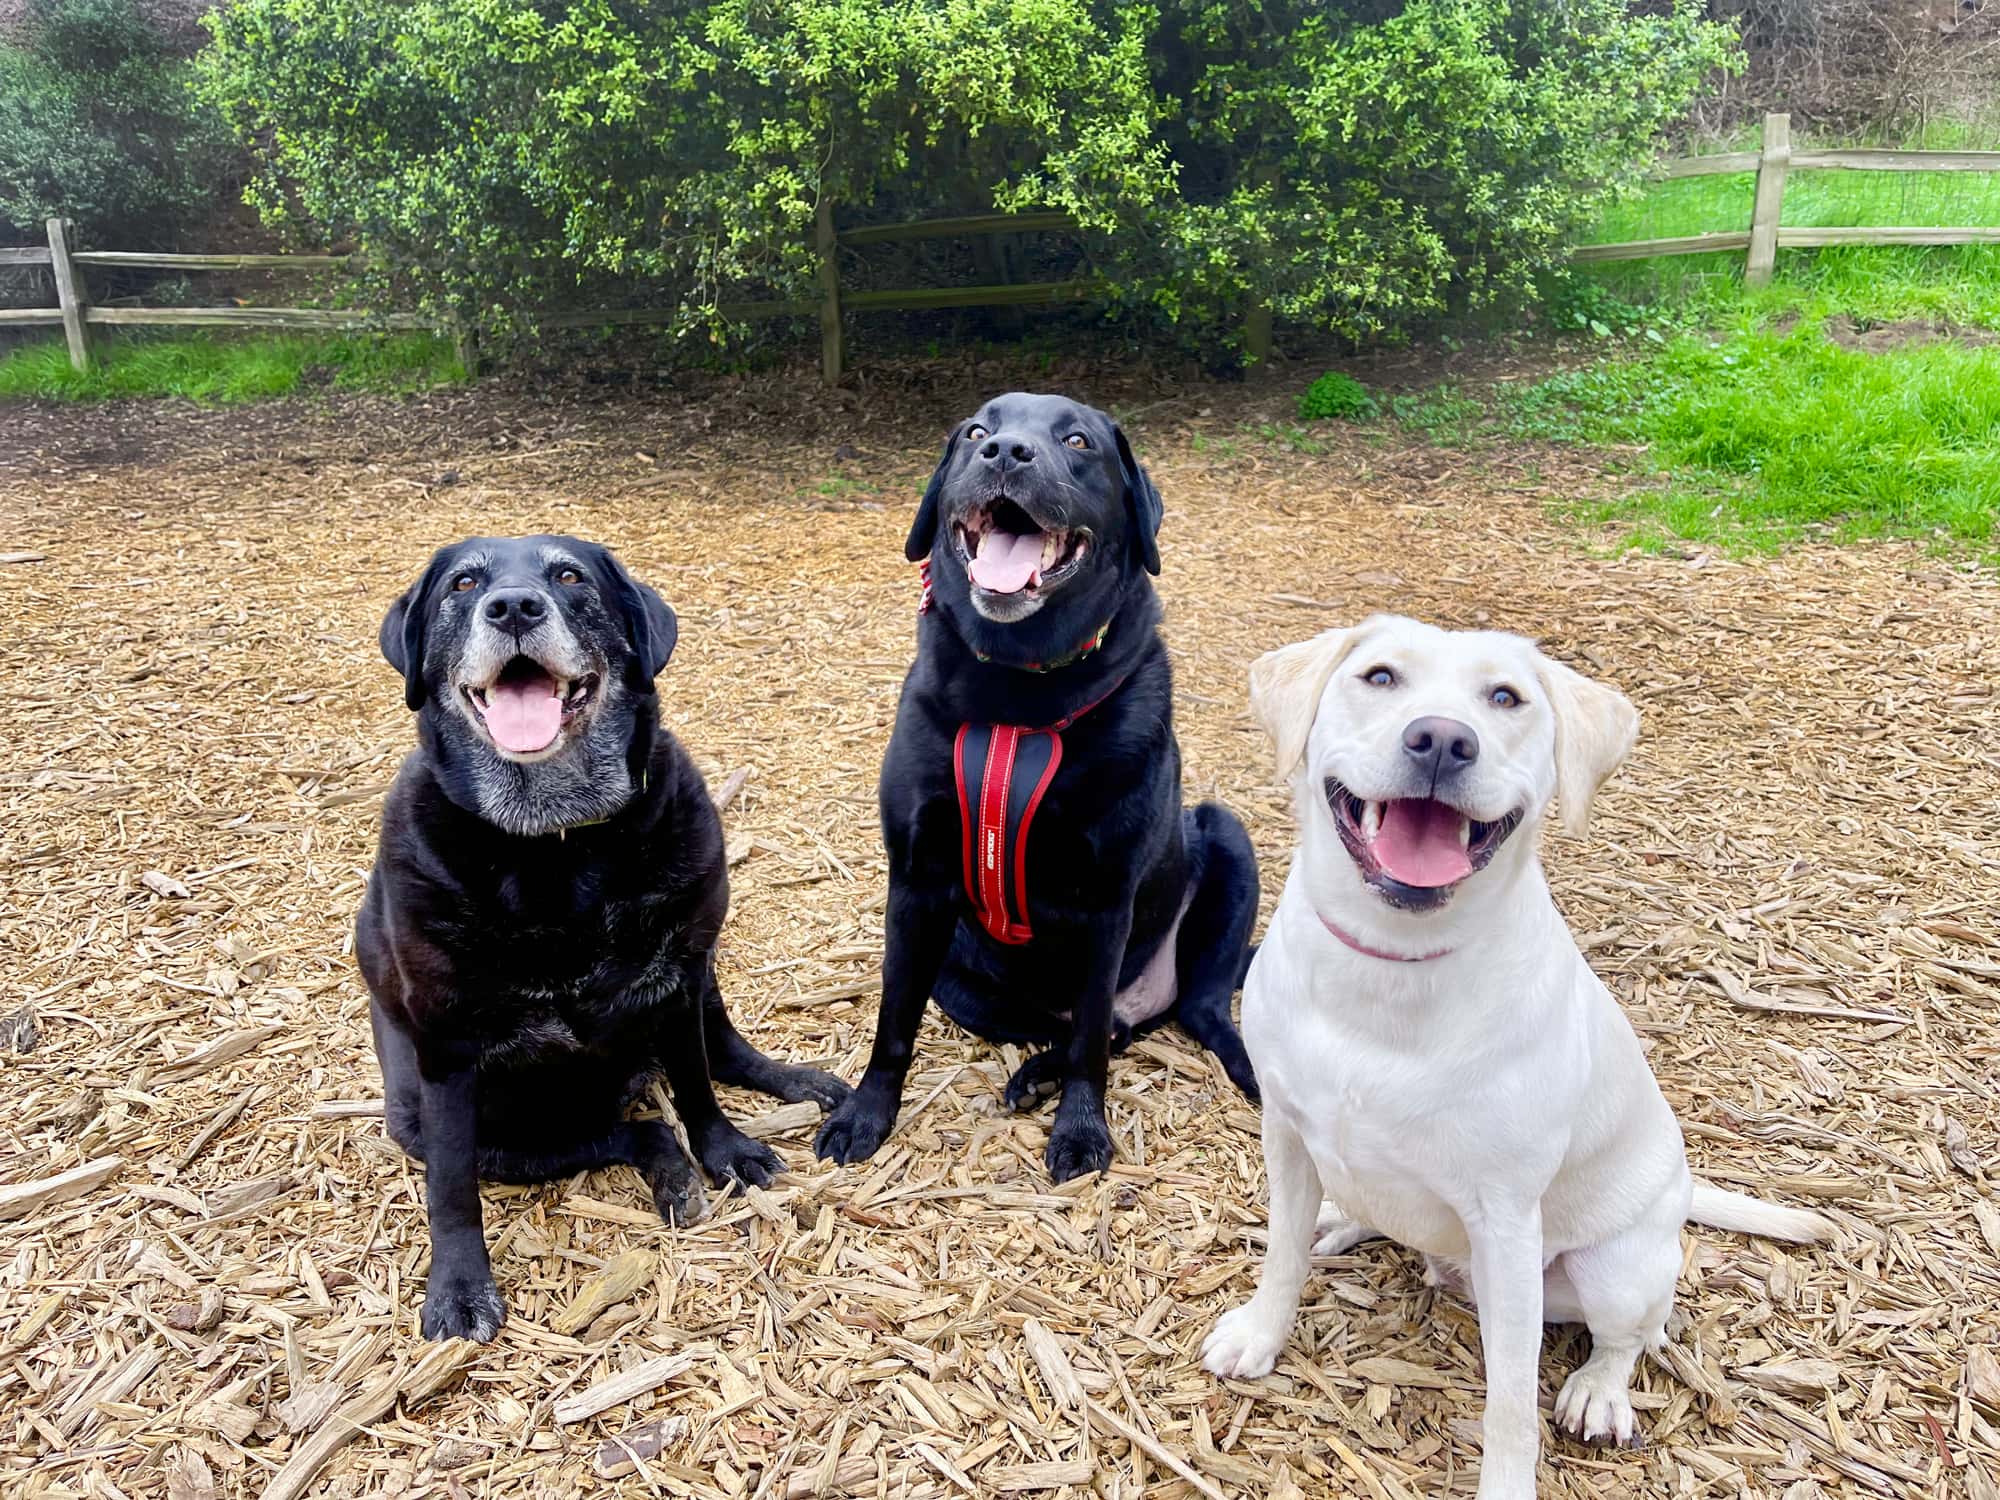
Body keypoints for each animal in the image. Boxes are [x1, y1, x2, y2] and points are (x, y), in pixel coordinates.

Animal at [808, 390, 1248, 1184]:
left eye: (1077, 441)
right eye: (977, 431)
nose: (1007, 453)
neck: (1018, 698)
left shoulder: (1106, 904)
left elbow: (1092, 1047)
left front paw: (1081, 1131)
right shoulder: (914, 886)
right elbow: (893, 1022)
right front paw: (865, 1115)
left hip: (1225, 835)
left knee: (1168, 1018)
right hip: (959, 976)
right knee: (1094, 1031)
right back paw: (1034, 1073)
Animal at [1200, 616, 1832, 1500]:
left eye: (1506, 698)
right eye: (1379, 676)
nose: (1441, 740)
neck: (1394, 966)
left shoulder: (1503, 1223)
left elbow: (1509, 1402)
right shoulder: (1288, 1138)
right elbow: (1281, 1257)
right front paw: (1261, 1334)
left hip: (1612, 1267)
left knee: (1630, 1336)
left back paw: (1599, 1391)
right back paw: (1342, 1219)